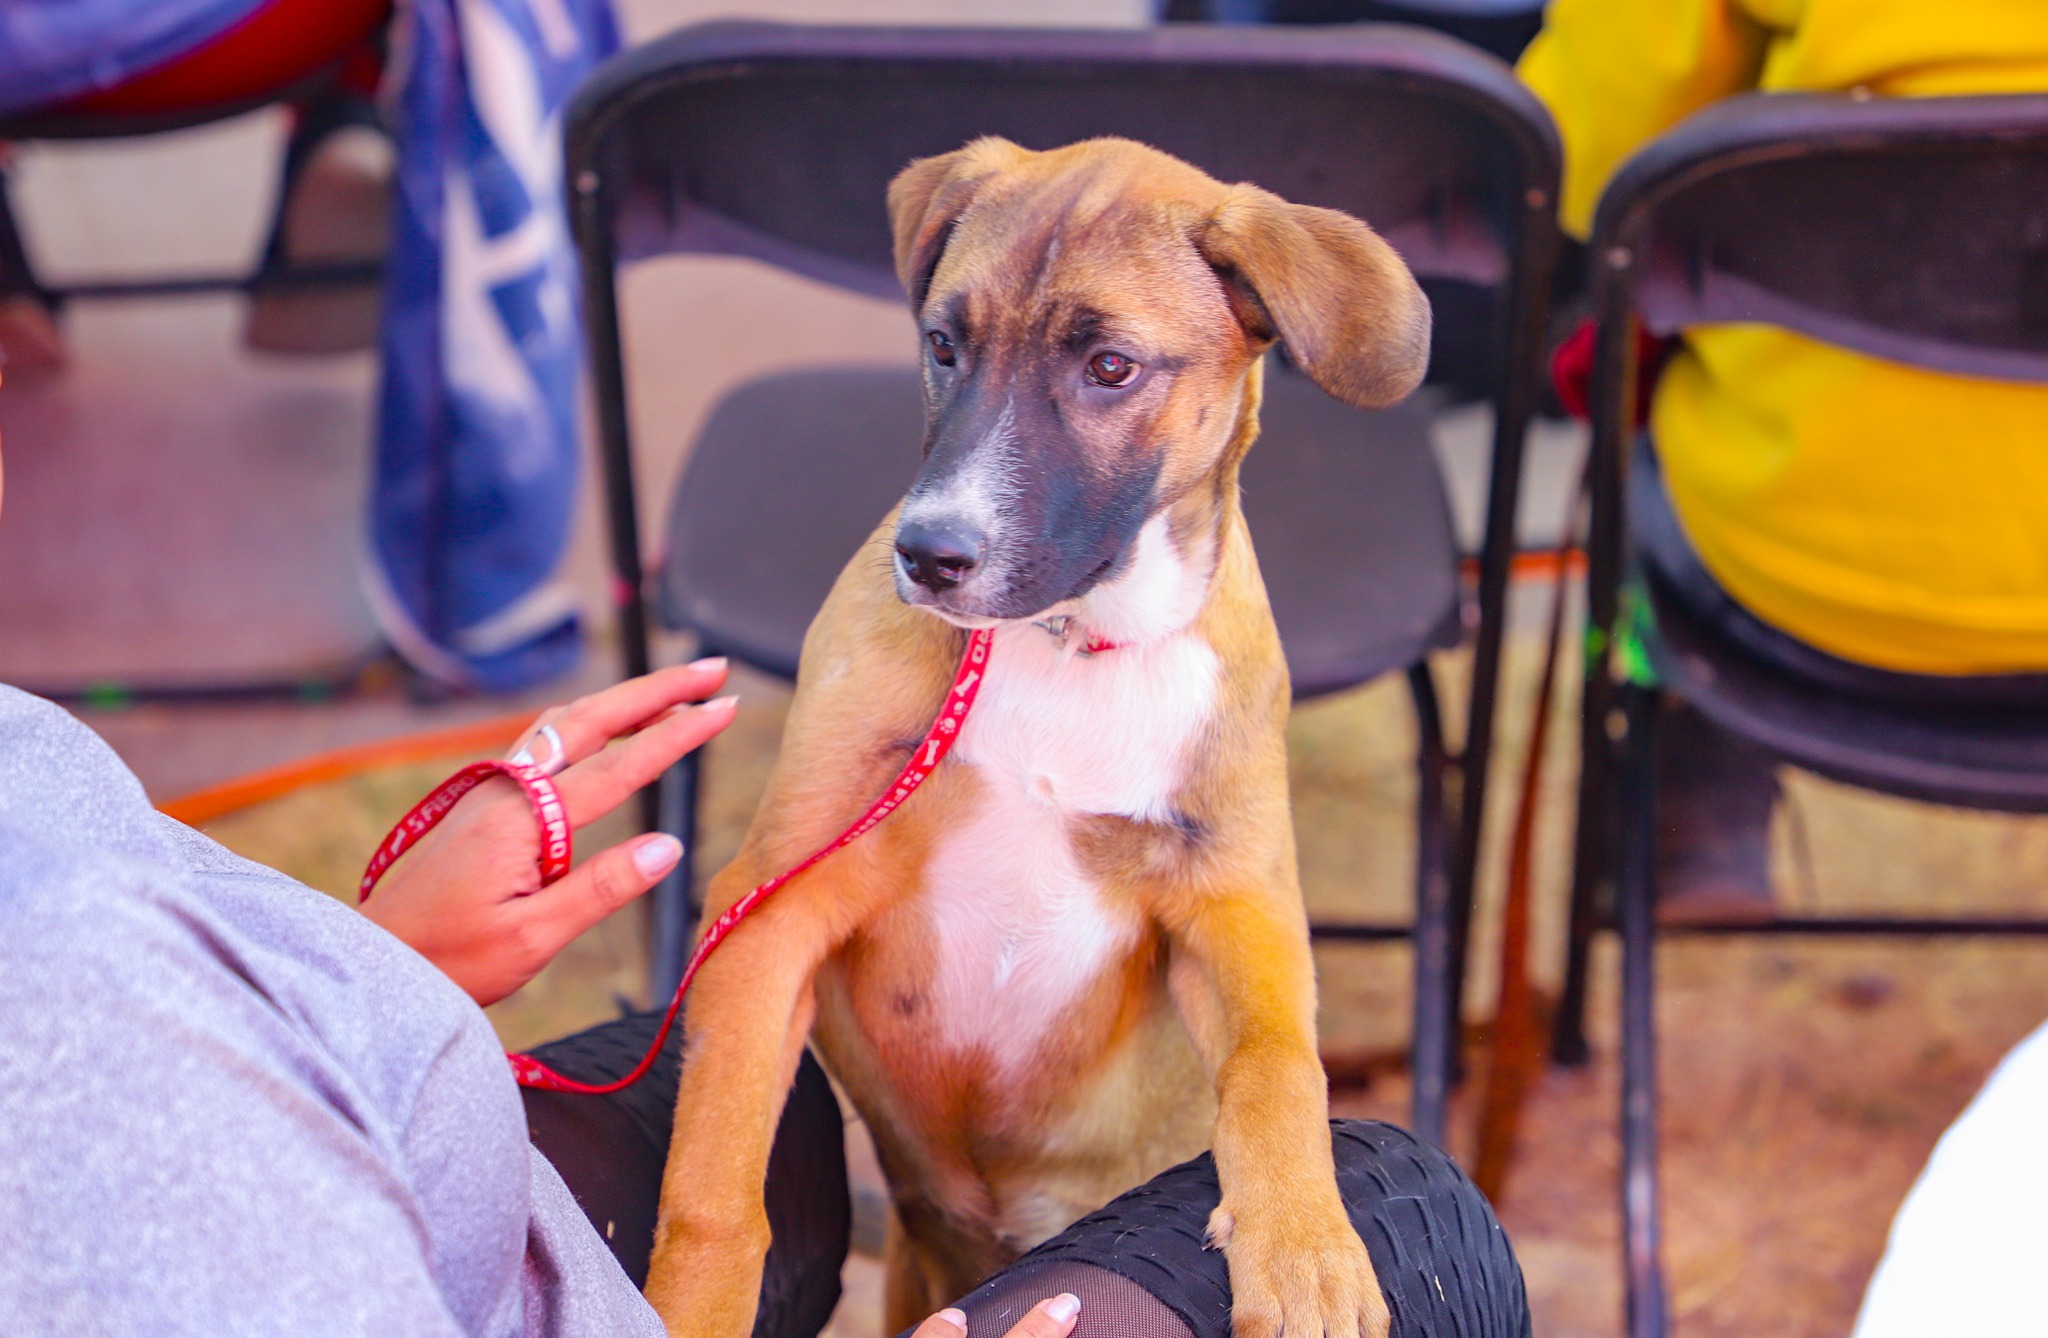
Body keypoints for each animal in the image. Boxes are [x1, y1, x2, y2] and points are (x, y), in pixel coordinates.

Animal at [638, 135, 1425, 1335]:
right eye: (942, 347)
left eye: (1110, 367)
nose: (929, 556)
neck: (1067, 642)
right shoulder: (775, 897)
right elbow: (717, 1182)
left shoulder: (1235, 902)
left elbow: (1277, 1065)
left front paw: (1303, 1248)